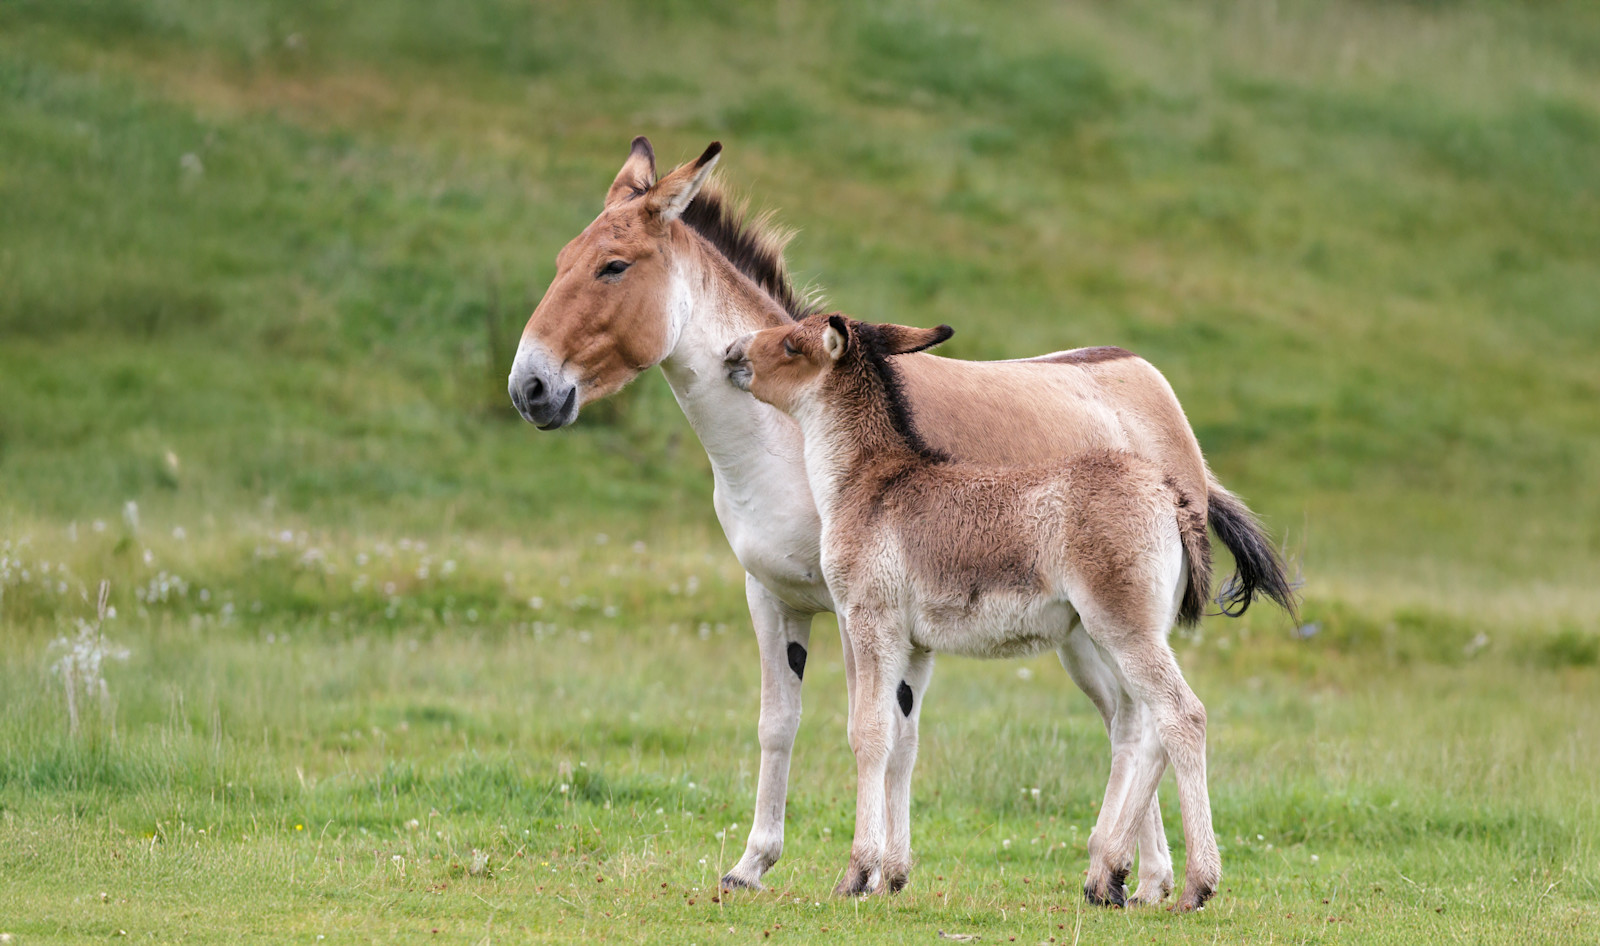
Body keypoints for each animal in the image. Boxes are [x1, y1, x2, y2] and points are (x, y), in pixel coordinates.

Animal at [509, 137, 1295, 904]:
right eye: (560, 261)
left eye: (614, 266)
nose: (529, 389)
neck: (792, 447)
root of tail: (1142, 378)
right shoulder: (775, 597)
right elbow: (789, 725)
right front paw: (767, 864)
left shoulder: (862, 610)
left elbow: (872, 730)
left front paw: (863, 870)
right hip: (1088, 632)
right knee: (1131, 721)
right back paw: (1130, 874)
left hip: (1111, 625)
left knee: (1156, 716)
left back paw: (1160, 876)